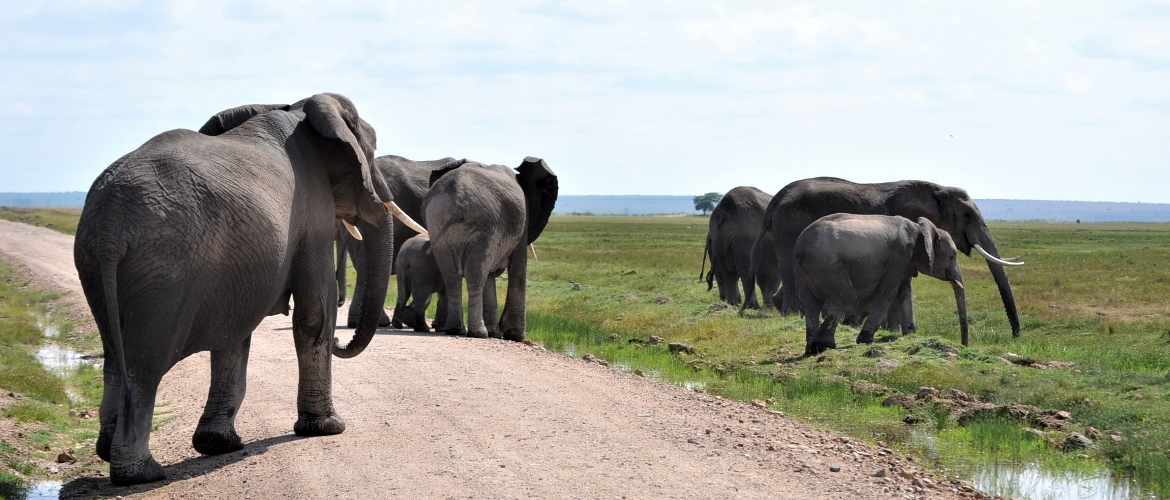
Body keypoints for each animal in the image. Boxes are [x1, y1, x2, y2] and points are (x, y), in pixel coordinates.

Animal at [77, 93, 400, 484]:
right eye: (373, 148)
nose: (342, 340)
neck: (297, 106)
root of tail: (109, 226)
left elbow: (233, 333)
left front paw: (219, 445)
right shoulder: (313, 211)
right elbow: (313, 312)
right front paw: (327, 428)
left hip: (95, 267)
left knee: (114, 354)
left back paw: (107, 452)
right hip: (162, 271)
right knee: (144, 364)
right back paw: (142, 474)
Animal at [425, 158, 556, 339]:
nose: (503, 329)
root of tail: (458, 199)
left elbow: (490, 275)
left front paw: (496, 333)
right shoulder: (523, 222)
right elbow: (518, 270)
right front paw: (516, 337)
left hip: (437, 222)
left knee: (451, 276)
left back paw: (456, 330)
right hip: (484, 224)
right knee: (475, 273)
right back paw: (479, 333)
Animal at [753, 175, 1020, 337]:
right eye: (966, 215)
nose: (1016, 335)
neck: (935, 189)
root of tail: (777, 198)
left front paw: (896, 331)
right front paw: (892, 331)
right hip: (790, 226)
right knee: (790, 273)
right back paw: (791, 315)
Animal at [790, 215, 973, 355]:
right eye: (952, 256)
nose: (963, 345)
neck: (920, 228)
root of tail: (801, 248)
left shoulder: (905, 262)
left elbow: (904, 293)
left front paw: (909, 335)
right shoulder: (899, 257)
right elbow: (888, 293)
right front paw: (865, 340)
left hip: (803, 271)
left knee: (811, 306)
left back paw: (813, 349)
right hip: (830, 266)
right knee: (844, 298)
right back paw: (826, 344)